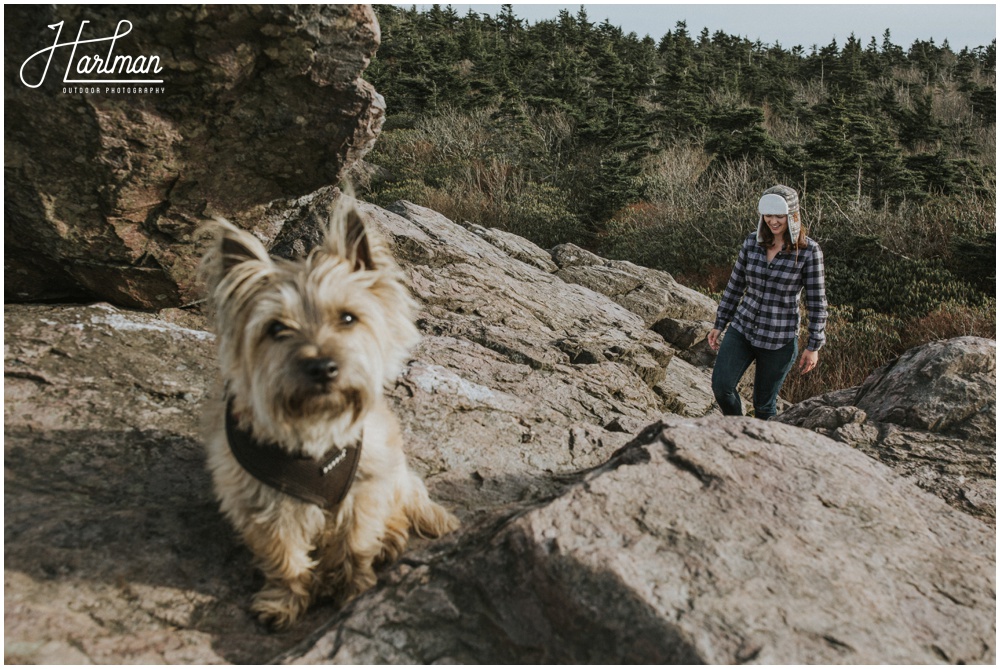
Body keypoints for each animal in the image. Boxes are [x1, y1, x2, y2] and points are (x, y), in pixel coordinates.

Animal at [201, 201, 458, 628]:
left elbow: (355, 545)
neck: (315, 429)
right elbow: (284, 557)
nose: (322, 367)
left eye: (348, 317)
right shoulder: (261, 505)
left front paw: (354, 589)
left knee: (403, 509)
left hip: (397, 476)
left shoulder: (364, 492)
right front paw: (284, 600)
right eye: (276, 328)